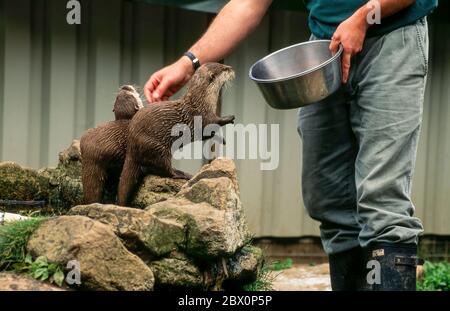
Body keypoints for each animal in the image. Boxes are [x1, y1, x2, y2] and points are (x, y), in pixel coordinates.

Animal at [116, 62, 236, 207]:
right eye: (224, 69)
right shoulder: (203, 116)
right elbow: (212, 124)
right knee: (165, 169)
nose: (231, 68)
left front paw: (221, 139)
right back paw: (184, 174)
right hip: (157, 147)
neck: (203, 101)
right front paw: (228, 118)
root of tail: (131, 147)